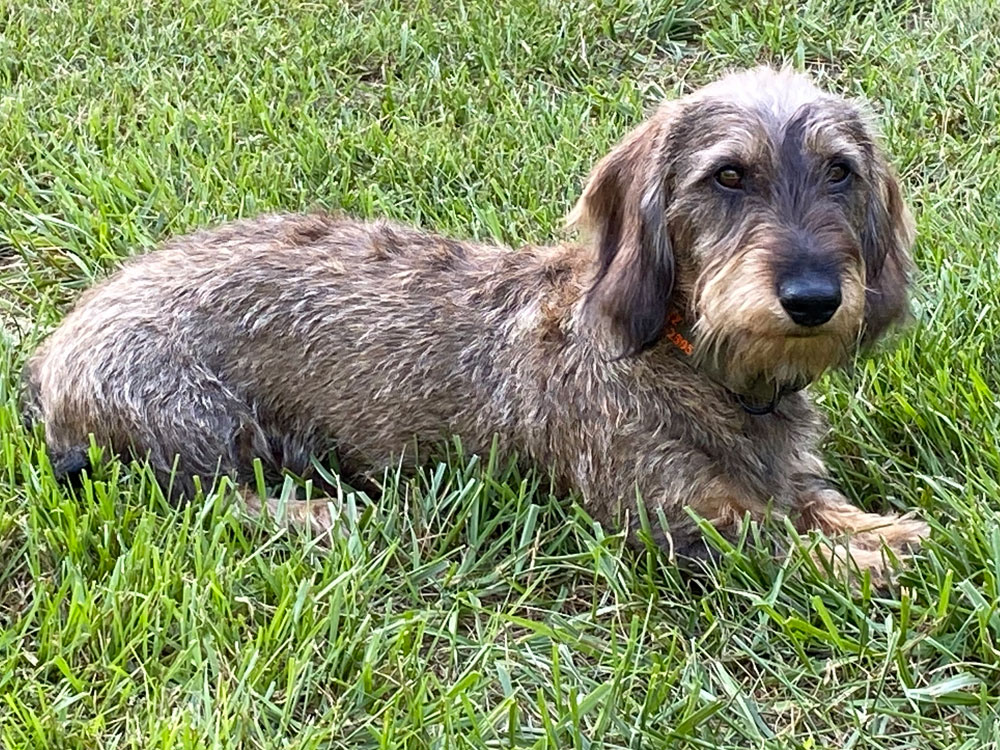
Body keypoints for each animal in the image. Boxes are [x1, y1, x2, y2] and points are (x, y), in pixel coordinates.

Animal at [19, 66, 928, 580]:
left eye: (840, 172)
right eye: (729, 176)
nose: (813, 298)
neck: (692, 362)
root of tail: (52, 353)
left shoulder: (785, 474)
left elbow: (813, 502)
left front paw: (879, 528)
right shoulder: (667, 513)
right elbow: (769, 544)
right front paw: (867, 560)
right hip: (190, 420)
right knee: (200, 502)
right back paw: (316, 514)